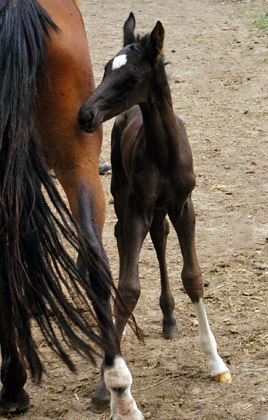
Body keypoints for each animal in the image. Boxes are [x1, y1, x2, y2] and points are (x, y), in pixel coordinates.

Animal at [78, 10, 231, 410]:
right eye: (105, 69)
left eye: (132, 78)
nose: (85, 115)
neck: (163, 152)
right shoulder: (137, 208)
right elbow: (128, 287)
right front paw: (106, 384)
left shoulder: (184, 206)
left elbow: (193, 276)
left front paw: (216, 363)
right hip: (123, 191)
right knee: (123, 235)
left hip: (161, 209)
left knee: (160, 237)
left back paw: (169, 318)